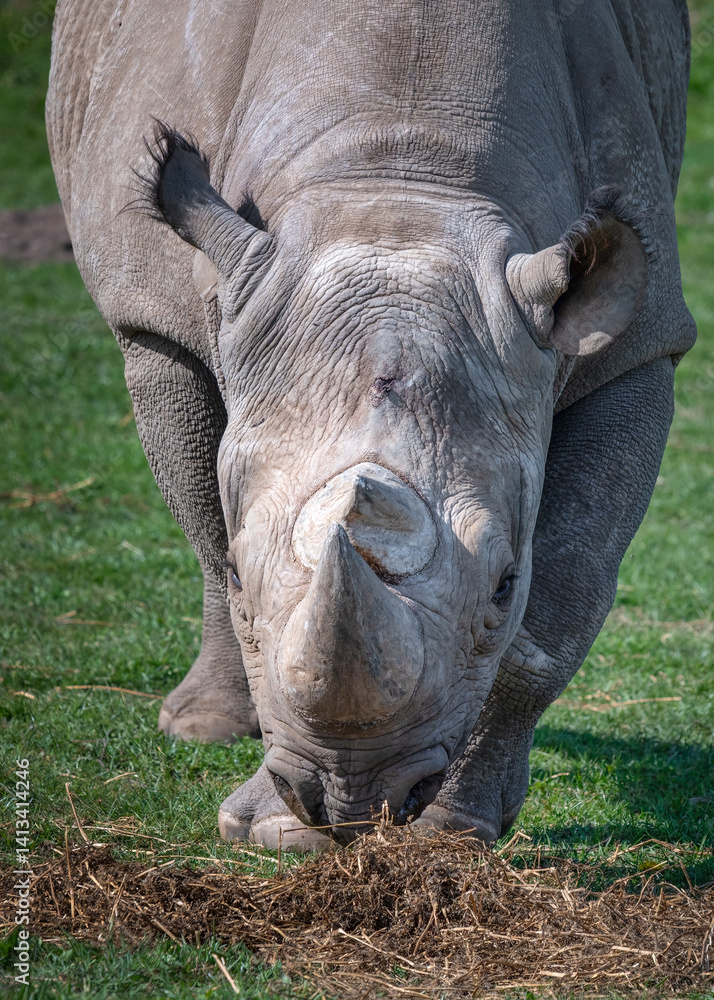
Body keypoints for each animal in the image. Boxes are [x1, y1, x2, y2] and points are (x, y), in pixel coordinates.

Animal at [47, 0, 695, 848]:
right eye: (241, 575)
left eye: (503, 584)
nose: (350, 799)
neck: (401, 186)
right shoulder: (154, 322)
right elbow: (206, 527)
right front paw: (270, 829)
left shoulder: (638, 345)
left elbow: (562, 597)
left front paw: (451, 831)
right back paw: (202, 729)